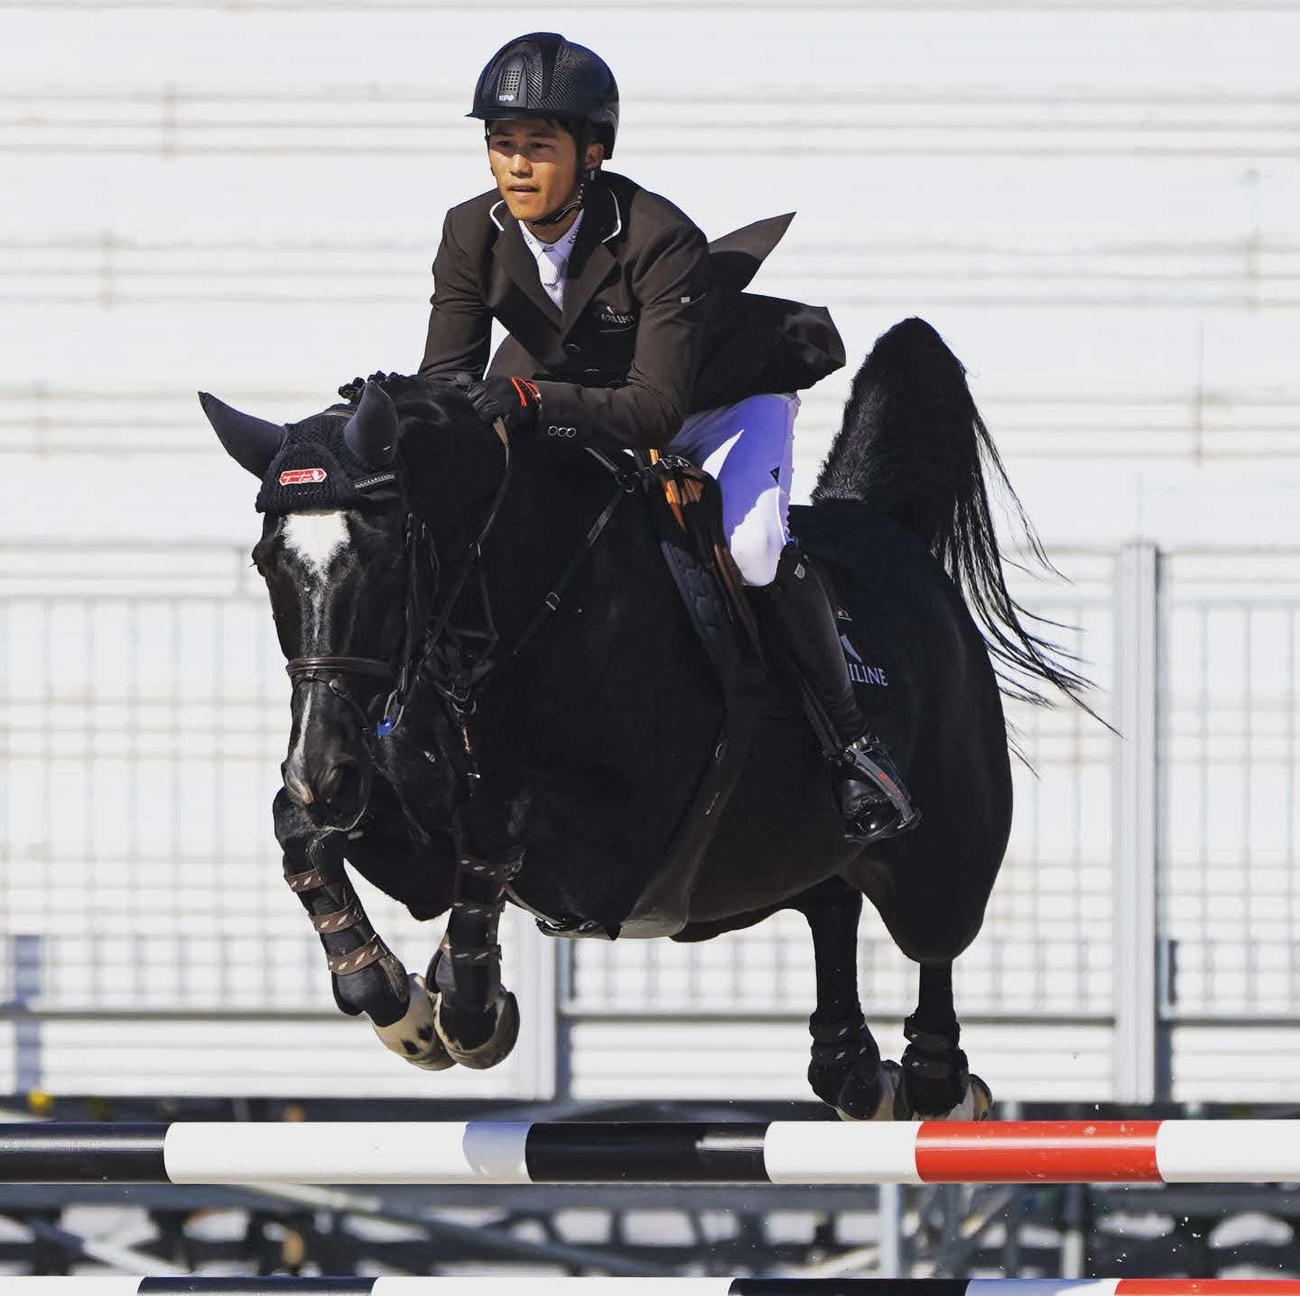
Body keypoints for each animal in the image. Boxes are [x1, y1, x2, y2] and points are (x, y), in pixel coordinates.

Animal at [200, 317, 1088, 1120]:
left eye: (383, 557)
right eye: (269, 562)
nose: (324, 772)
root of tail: (892, 538)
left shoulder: (619, 854)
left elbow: (496, 828)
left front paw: (469, 1010)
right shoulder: (414, 840)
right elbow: (301, 833)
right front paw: (401, 1006)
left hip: (941, 857)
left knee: (935, 941)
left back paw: (939, 1082)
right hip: (784, 862)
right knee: (833, 906)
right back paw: (858, 1073)